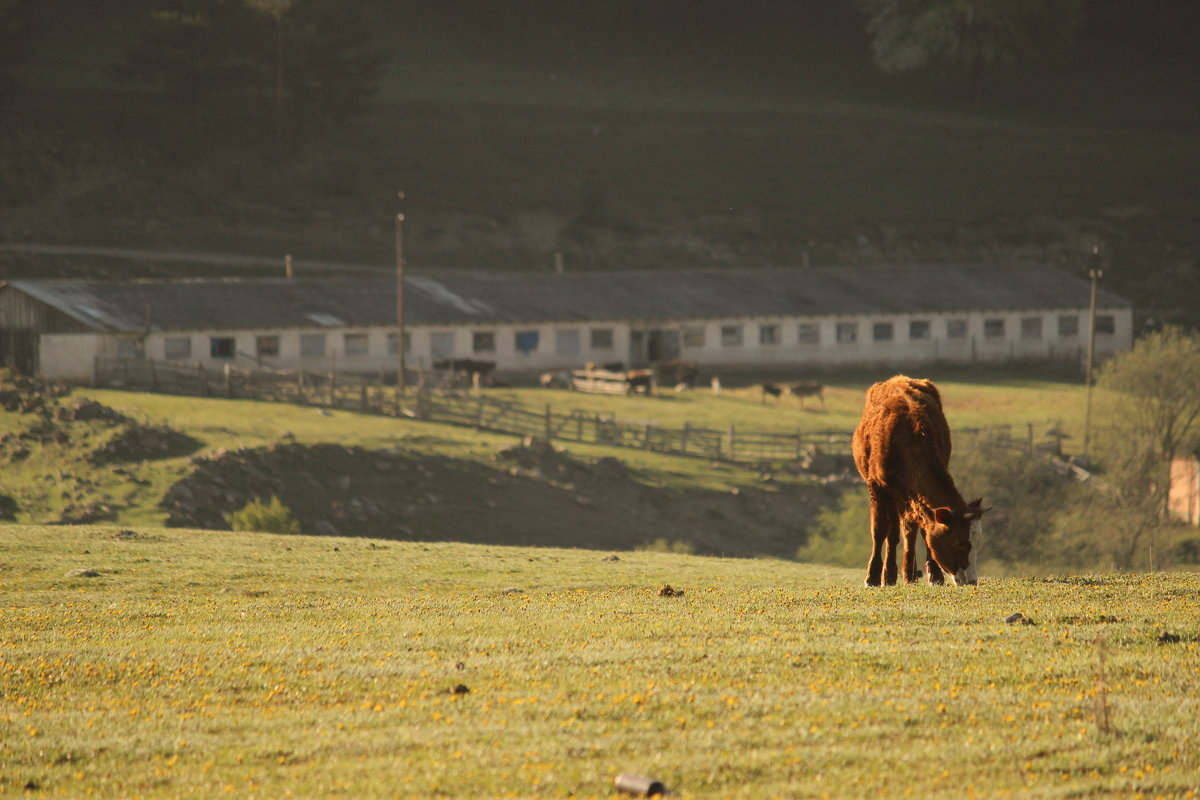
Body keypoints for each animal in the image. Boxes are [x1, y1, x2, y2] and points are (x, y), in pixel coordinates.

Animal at [849, 376, 988, 587]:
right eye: (961, 543)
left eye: (978, 542)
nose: (972, 581)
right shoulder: (878, 487)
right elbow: (881, 530)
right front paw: (875, 576)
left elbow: (923, 530)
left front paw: (935, 575)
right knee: (895, 531)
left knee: (909, 530)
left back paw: (910, 573)